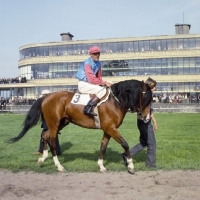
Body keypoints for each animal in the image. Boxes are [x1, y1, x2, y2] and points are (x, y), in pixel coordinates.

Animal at [8, 79, 155, 174]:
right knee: (53, 144)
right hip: (54, 125)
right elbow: (125, 144)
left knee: (44, 135)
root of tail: (46, 97)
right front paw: (130, 166)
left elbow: (103, 147)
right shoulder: (111, 128)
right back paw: (59, 166)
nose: (147, 117)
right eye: (146, 98)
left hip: (61, 123)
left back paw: (42, 158)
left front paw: (101, 166)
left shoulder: (108, 129)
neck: (115, 101)